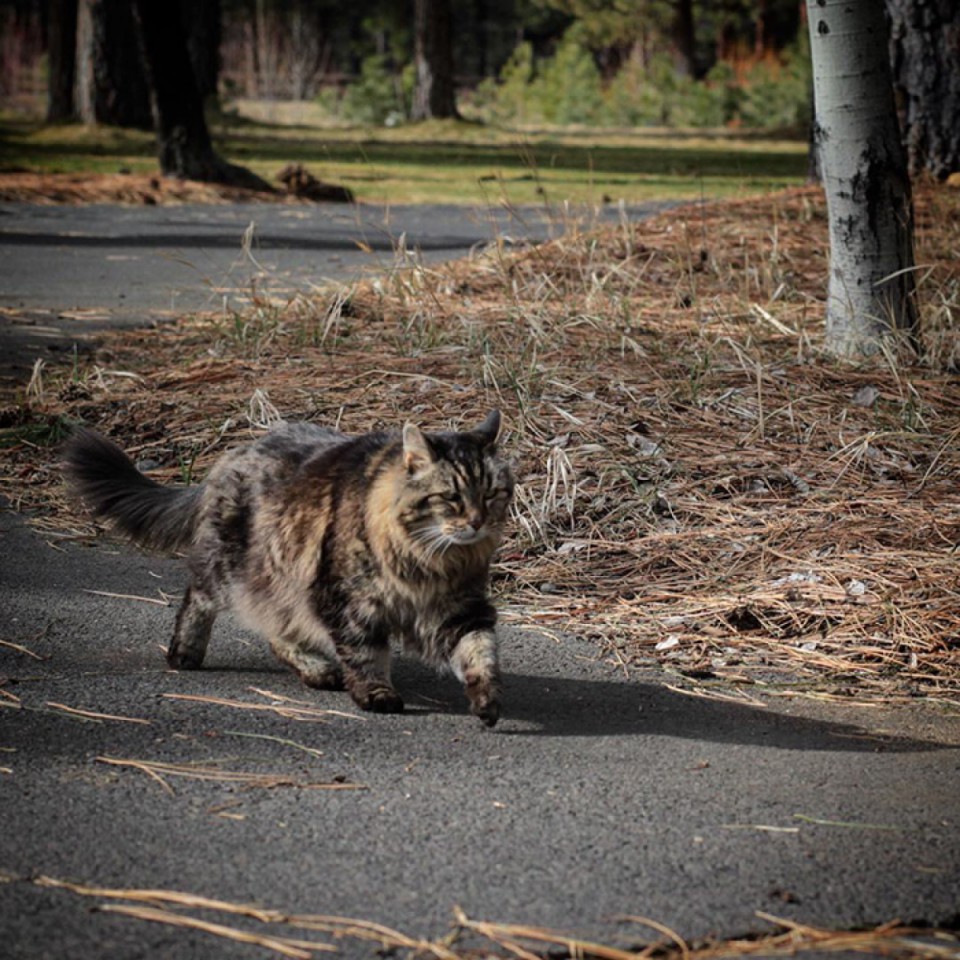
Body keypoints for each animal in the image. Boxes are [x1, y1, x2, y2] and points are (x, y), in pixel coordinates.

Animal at [63, 408, 512, 724]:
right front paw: (376, 694)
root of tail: (234, 454)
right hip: (237, 570)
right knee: (199, 597)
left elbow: (479, 650)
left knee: (279, 634)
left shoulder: (459, 608)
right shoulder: (346, 601)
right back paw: (185, 653)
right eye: (451, 497)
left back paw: (318, 671)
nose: (477, 522)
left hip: (284, 583)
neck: (429, 561)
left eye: (491, 494)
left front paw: (487, 700)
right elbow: (365, 653)